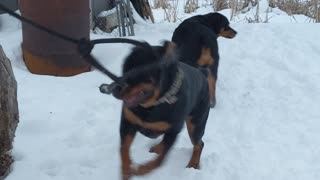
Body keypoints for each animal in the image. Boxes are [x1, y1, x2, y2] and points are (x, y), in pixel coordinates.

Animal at [111, 41, 211, 179]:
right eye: (124, 67)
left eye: (140, 71)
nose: (114, 88)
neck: (152, 106)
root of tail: (202, 73)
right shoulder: (127, 123)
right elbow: (123, 149)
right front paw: (126, 170)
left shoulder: (174, 130)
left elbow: (160, 160)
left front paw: (143, 169)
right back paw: (157, 148)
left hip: (196, 124)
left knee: (199, 144)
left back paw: (193, 164)